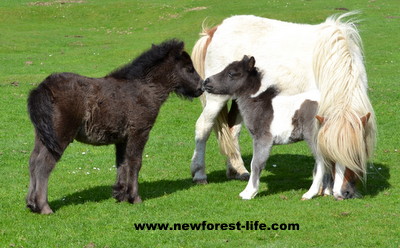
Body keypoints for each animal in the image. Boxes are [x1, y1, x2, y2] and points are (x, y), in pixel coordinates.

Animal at [190, 13, 376, 200]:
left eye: (358, 158)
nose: (345, 193)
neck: (330, 62)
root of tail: (214, 31)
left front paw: (326, 189)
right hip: (216, 99)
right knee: (203, 127)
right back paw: (199, 174)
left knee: (232, 130)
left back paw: (238, 170)